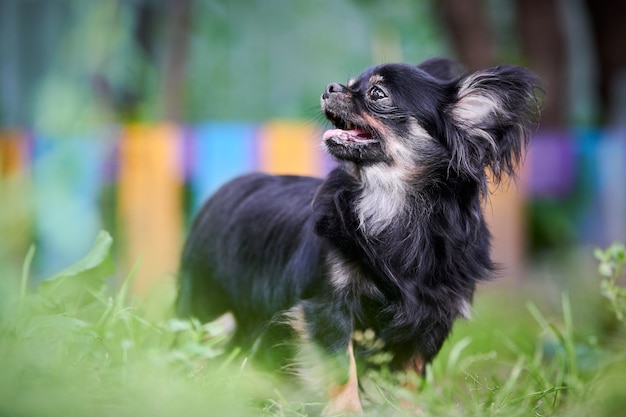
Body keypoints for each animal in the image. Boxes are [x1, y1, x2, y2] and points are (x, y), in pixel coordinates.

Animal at [177, 57, 540, 412]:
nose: (331, 87)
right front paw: (347, 411)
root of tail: (230, 186)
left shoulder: (430, 320)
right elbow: (341, 369)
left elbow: (409, 379)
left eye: (377, 94)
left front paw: (409, 412)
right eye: (350, 84)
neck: (391, 205)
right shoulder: (328, 308)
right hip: (204, 306)